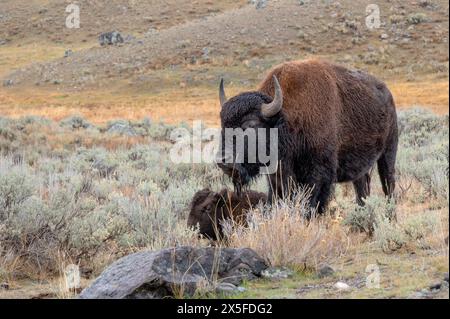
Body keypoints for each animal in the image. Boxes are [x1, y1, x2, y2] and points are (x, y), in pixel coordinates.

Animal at [218, 60, 398, 215]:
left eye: (250, 125)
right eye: (223, 124)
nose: (223, 161)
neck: (284, 118)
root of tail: (388, 94)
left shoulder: (319, 175)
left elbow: (312, 204)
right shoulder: (277, 178)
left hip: (388, 154)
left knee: (389, 187)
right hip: (361, 170)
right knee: (362, 191)